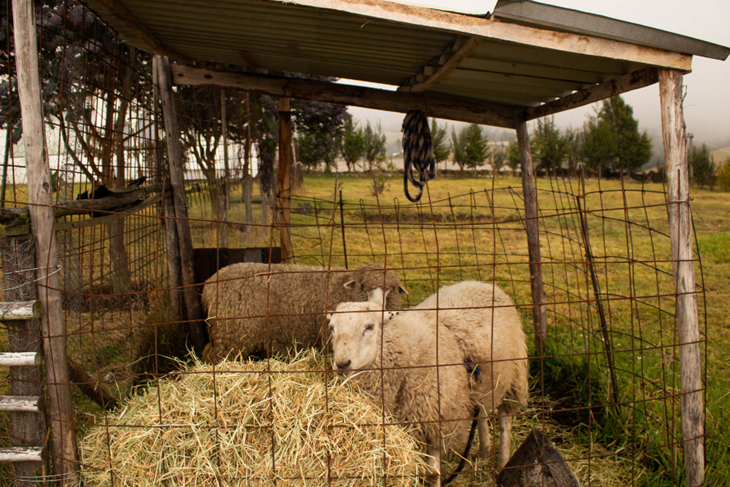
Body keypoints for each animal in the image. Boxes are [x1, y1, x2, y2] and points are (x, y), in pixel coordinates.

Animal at [328, 280, 528, 486]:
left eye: (369, 327)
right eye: (332, 328)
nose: (342, 364)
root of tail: (483, 284)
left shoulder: (436, 420)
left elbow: (432, 473)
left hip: (514, 377)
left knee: (505, 421)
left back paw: (503, 462)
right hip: (482, 382)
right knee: (481, 411)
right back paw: (484, 451)